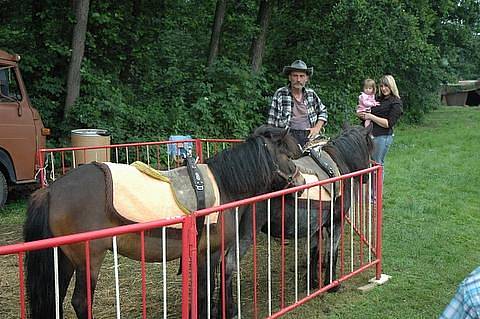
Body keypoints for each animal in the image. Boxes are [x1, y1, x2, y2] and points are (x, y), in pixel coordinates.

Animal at [23, 125, 304, 319]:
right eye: (290, 156)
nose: (301, 182)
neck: (225, 187)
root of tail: (51, 191)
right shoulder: (209, 253)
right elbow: (205, 291)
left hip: (64, 258)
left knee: (57, 298)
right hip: (88, 260)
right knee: (81, 302)